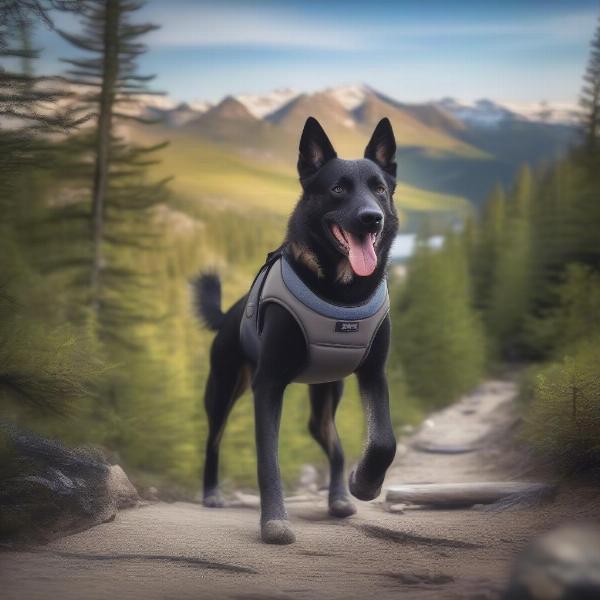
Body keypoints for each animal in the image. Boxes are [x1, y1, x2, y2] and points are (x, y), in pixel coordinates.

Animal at [196, 117, 398, 544]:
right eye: (338, 188)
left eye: (379, 189)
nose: (372, 217)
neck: (342, 294)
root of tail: (228, 313)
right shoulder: (268, 384)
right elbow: (268, 461)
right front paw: (274, 521)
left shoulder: (374, 373)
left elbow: (384, 441)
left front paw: (365, 483)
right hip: (224, 390)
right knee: (212, 439)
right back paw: (211, 493)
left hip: (326, 395)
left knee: (332, 443)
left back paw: (339, 497)